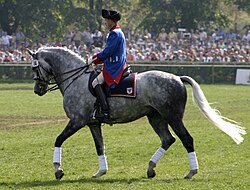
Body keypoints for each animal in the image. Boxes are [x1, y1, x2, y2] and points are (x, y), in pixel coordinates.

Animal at [27, 46, 244, 180]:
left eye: (34, 68)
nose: (37, 89)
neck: (76, 78)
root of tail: (177, 78)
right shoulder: (93, 123)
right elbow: (100, 146)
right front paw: (101, 171)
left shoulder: (77, 121)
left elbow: (58, 139)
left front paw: (58, 169)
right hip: (155, 118)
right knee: (168, 139)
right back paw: (150, 168)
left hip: (173, 117)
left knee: (186, 139)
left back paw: (192, 171)